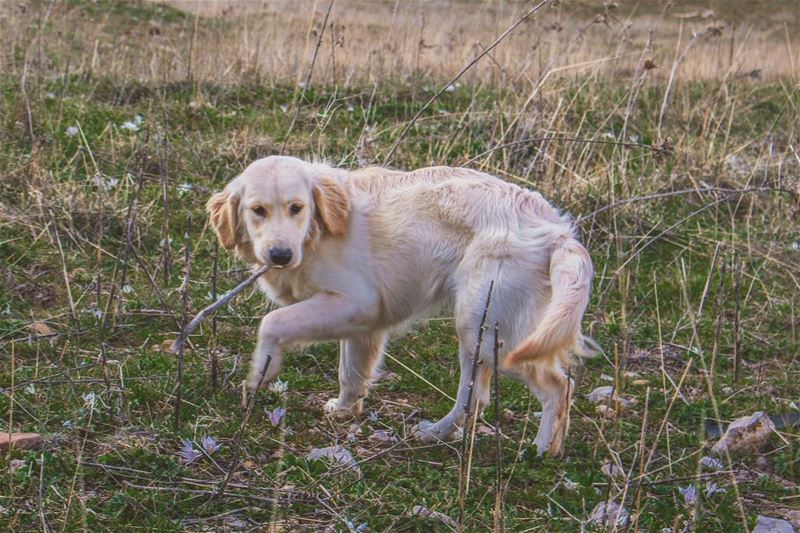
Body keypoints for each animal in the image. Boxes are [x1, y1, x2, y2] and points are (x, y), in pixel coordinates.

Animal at [206, 156, 592, 456]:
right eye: (258, 211)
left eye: (296, 208)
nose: (280, 255)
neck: (318, 231)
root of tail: (557, 231)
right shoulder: (363, 323)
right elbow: (351, 372)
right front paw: (345, 409)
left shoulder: (355, 301)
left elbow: (272, 323)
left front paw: (262, 372)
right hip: (481, 333)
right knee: (477, 399)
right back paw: (439, 433)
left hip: (488, 333)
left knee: (557, 387)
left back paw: (541, 450)